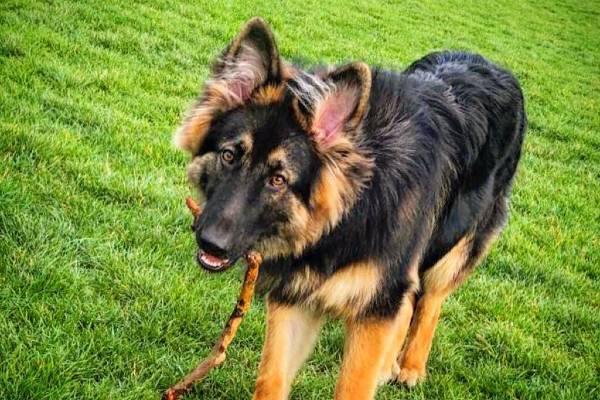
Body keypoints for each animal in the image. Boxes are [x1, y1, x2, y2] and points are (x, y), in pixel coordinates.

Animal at [173, 17, 524, 398]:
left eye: (278, 179)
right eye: (228, 156)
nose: (210, 242)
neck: (348, 215)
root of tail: (494, 65)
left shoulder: (375, 305)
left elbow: (353, 385)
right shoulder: (294, 297)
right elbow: (271, 379)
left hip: (456, 246)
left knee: (430, 300)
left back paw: (411, 366)